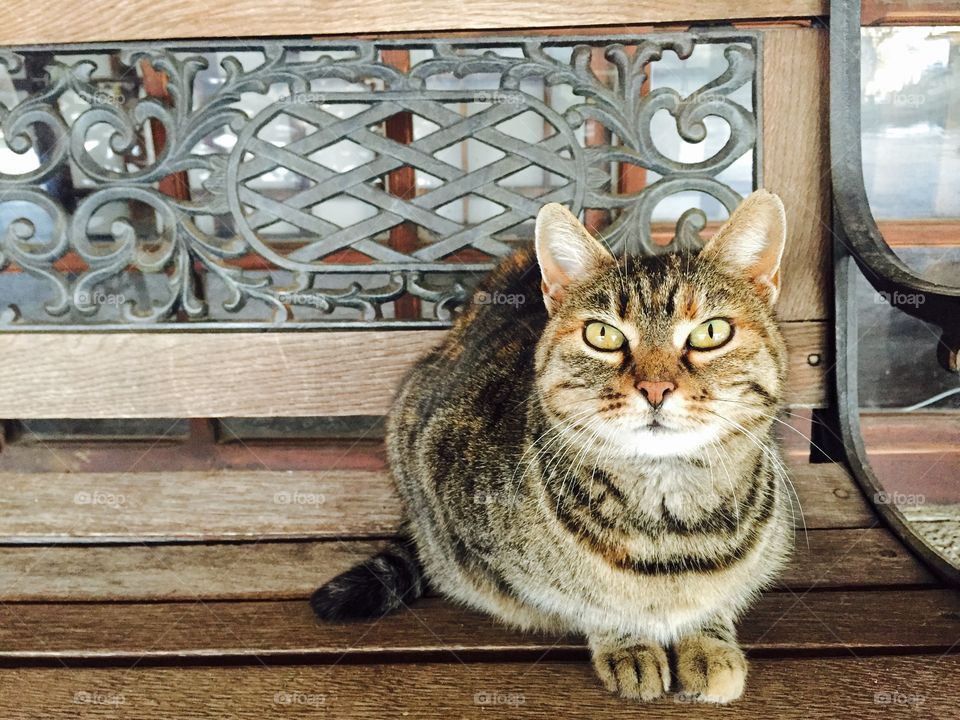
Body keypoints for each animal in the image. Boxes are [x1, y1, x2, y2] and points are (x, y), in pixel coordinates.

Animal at [312, 190, 792, 704]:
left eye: (711, 332)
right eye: (603, 335)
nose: (655, 388)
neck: (670, 522)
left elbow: (714, 599)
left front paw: (707, 641)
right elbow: (591, 602)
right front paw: (627, 642)